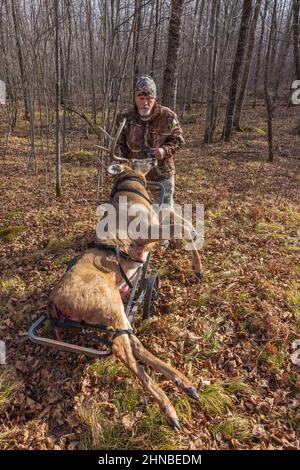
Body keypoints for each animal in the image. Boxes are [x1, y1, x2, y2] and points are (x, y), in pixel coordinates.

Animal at [48, 114, 204, 430]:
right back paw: (169, 408)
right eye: (138, 157)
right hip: (107, 302)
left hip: (115, 307)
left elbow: (178, 219)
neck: (133, 193)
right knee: (123, 349)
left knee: (134, 342)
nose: (155, 157)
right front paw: (198, 267)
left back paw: (184, 383)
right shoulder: (143, 233)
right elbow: (180, 228)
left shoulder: (154, 222)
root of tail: (55, 303)